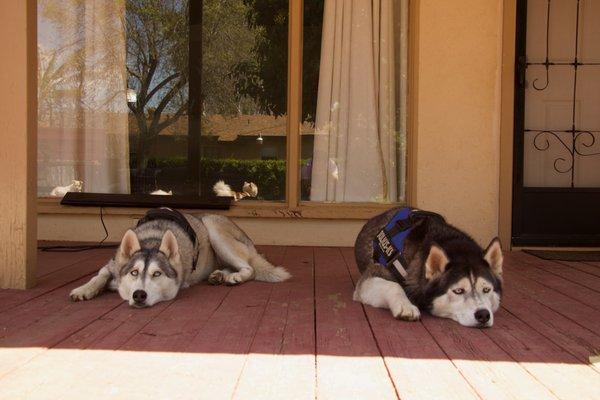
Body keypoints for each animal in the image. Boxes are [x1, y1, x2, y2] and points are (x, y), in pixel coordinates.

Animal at [70, 209, 290, 306]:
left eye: (157, 274)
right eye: (134, 272)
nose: (139, 295)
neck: (153, 241)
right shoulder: (113, 264)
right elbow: (99, 275)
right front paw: (84, 289)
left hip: (213, 227)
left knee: (249, 268)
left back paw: (234, 277)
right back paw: (220, 275)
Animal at [354, 208, 504, 326]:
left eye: (486, 289)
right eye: (458, 291)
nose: (483, 314)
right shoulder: (372, 276)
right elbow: (393, 285)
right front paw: (406, 306)